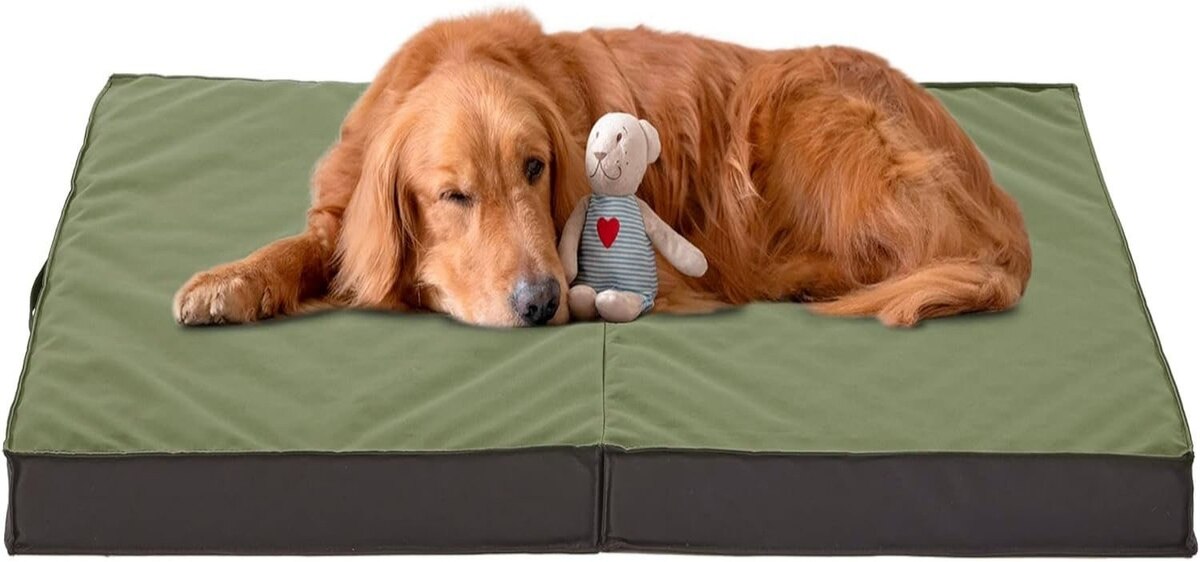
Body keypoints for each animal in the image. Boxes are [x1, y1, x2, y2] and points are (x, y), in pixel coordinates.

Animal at [173, 10, 1032, 328]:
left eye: (535, 168)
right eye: (452, 195)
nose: (541, 302)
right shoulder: (345, 204)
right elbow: (309, 244)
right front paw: (231, 280)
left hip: (806, 110)